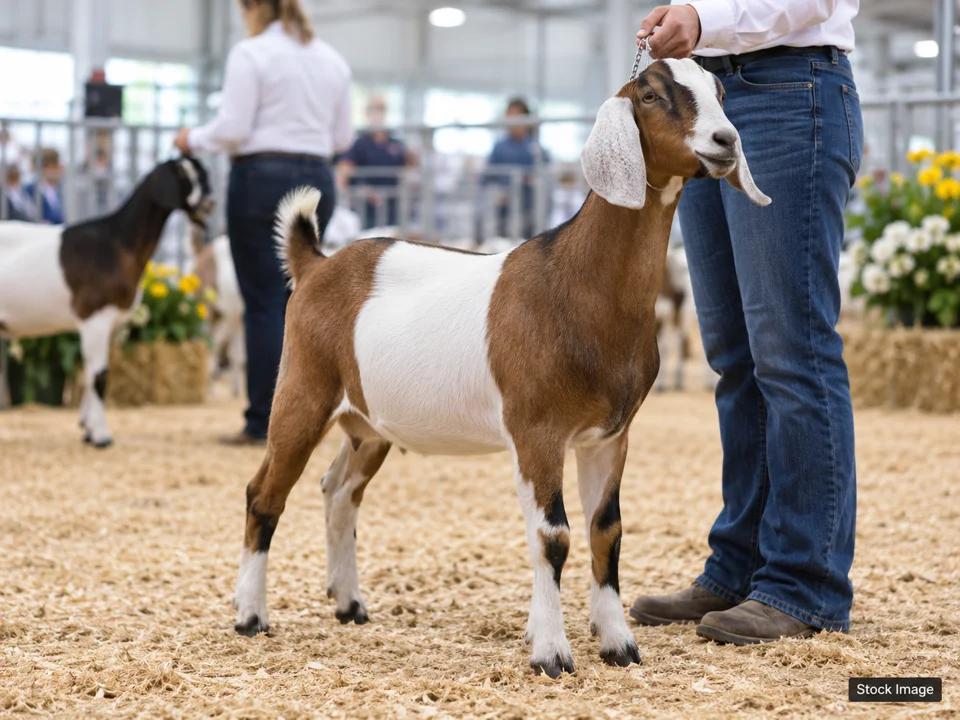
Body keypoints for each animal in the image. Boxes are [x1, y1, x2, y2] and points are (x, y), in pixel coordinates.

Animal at [0, 158, 213, 446]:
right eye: (182, 175)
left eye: (202, 174)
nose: (210, 201)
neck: (117, 242)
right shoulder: (95, 317)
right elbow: (99, 375)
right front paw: (101, 435)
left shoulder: (107, 324)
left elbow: (92, 371)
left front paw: (88, 429)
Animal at [231, 59, 770, 677]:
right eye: (652, 95)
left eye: (720, 91)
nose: (725, 142)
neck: (573, 281)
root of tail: (315, 264)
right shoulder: (536, 429)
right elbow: (552, 535)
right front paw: (551, 652)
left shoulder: (609, 436)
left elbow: (605, 531)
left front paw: (618, 644)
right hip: (303, 389)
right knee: (264, 493)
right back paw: (250, 615)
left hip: (367, 423)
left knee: (339, 490)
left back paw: (349, 604)